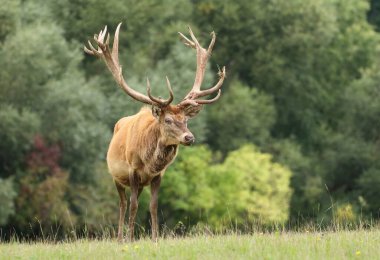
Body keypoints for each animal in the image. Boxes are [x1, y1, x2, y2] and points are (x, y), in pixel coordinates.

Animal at [84, 22, 224, 242]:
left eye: (186, 120)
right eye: (168, 120)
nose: (189, 137)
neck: (149, 162)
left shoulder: (158, 175)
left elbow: (153, 206)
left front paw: (155, 238)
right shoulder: (132, 170)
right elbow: (133, 205)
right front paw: (130, 238)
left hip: (140, 183)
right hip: (115, 175)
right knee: (123, 204)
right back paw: (120, 237)